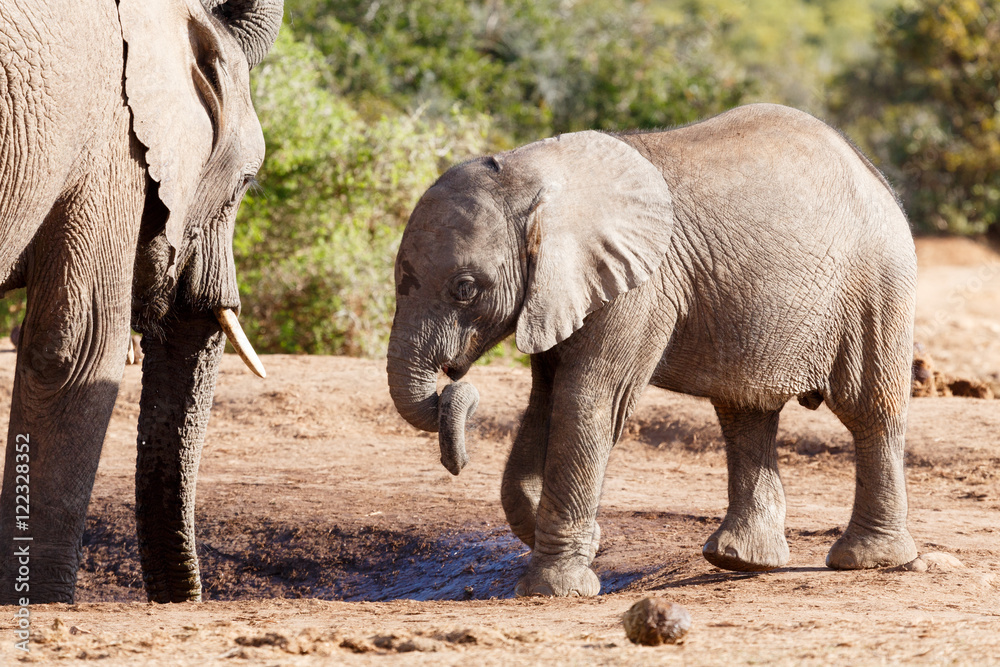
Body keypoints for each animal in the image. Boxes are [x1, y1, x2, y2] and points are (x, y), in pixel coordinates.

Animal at [388, 103, 918, 597]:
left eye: (464, 288)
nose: (453, 383)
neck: (537, 175)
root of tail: (873, 171)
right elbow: (545, 401)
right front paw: (585, 541)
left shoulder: (640, 283)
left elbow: (587, 400)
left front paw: (558, 589)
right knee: (746, 412)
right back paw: (742, 561)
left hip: (876, 286)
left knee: (868, 409)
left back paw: (866, 560)